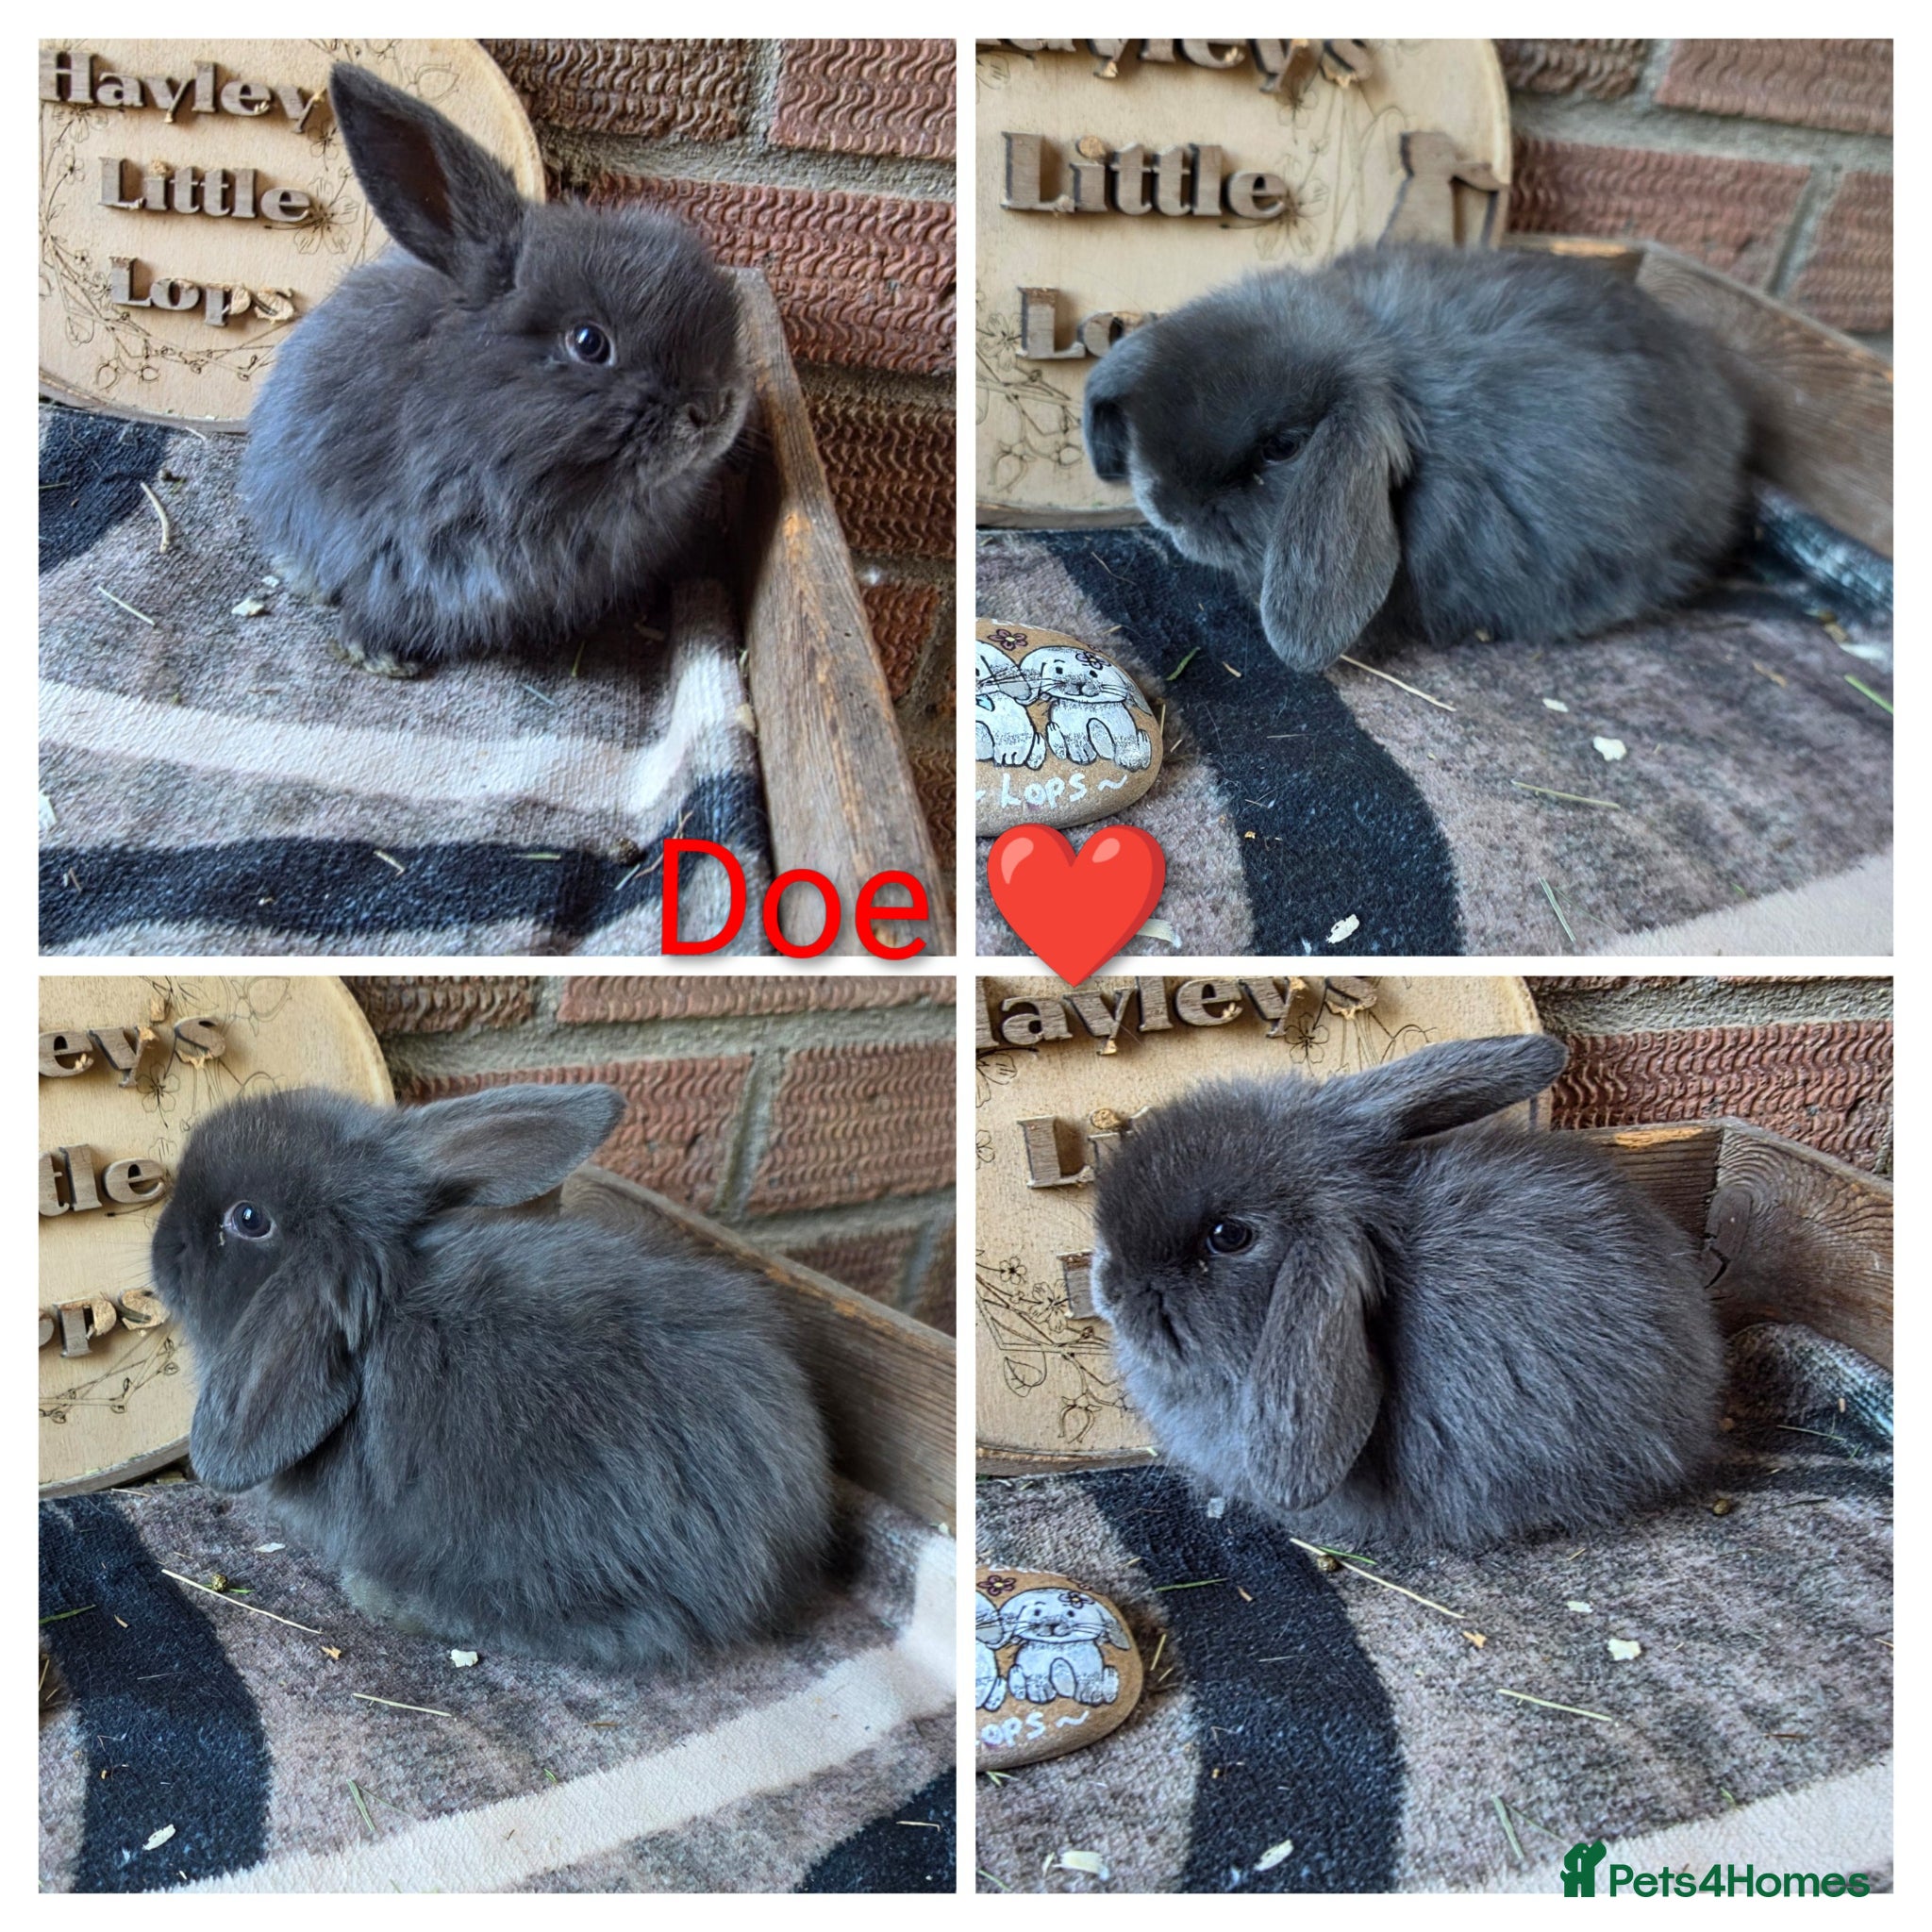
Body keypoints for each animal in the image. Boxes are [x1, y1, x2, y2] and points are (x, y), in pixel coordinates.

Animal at [1001, 1587, 1131, 1705]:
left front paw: (1089, 1693)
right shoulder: (1032, 1660)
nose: (1053, 1624)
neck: (1058, 1646)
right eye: (1037, 1612)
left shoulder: (1088, 1661)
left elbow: (1089, 1675)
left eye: (1071, 1613)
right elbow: (1036, 1674)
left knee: (1109, 1673)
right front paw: (1040, 1691)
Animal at [1019, 643, 1155, 770]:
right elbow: (1076, 735)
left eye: (1093, 673)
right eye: (1058, 670)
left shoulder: (1120, 718)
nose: (1079, 684)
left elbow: (1125, 735)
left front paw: (1129, 758)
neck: (1087, 706)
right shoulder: (1067, 719)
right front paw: (1082, 753)